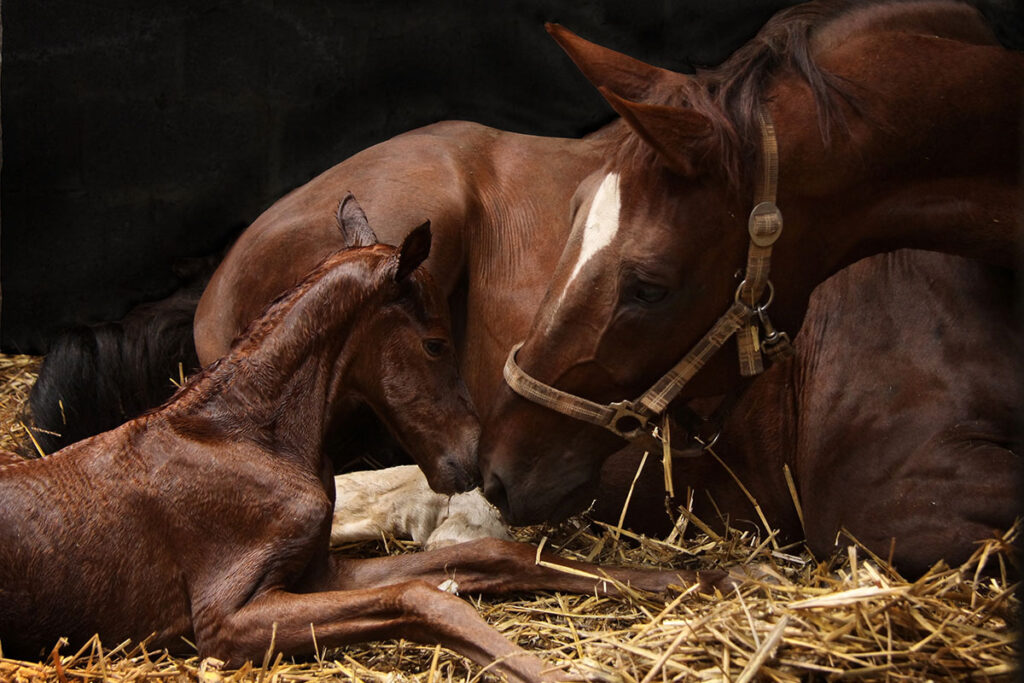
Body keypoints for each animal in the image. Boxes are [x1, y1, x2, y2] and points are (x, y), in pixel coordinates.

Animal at [1, 197, 731, 680]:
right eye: (436, 342)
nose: (473, 458)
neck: (244, 436)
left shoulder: (317, 571)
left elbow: (493, 556)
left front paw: (706, 575)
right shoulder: (225, 618)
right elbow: (419, 596)